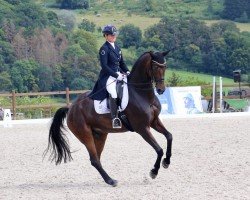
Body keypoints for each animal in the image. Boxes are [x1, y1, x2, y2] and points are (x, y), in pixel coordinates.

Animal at [45, 50, 173, 187]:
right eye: (154, 67)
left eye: (165, 66)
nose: (161, 90)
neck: (141, 94)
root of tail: (71, 108)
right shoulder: (142, 128)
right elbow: (159, 149)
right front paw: (154, 172)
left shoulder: (154, 121)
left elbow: (169, 136)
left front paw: (166, 162)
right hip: (85, 134)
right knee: (94, 159)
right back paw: (111, 180)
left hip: (100, 134)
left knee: (97, 158)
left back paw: (108, 180)